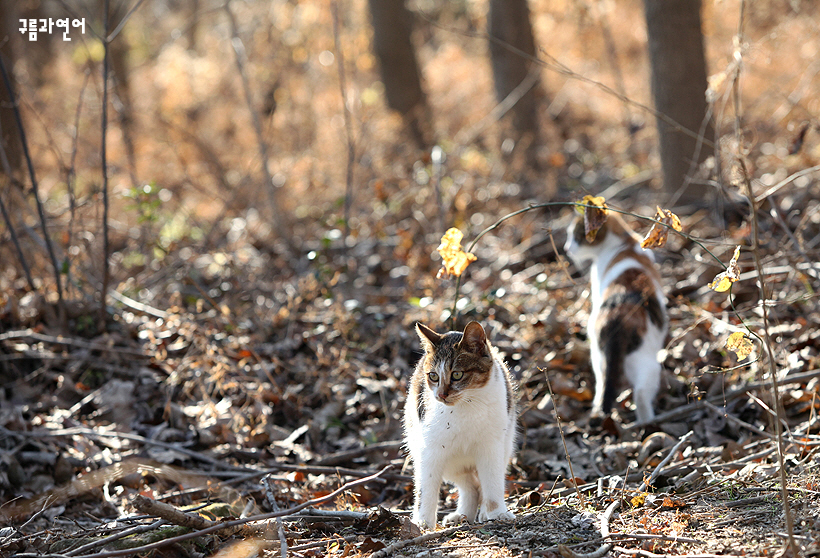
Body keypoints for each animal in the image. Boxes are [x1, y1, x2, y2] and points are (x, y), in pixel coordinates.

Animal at [406, 322, 520, 532]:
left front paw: (497, 513)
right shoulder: (430, 450)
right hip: (448, 459)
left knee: (482, 482)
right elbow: (426, 488)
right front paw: (423, 523)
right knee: (470, 485)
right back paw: (463, 515)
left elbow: (492, 482)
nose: (441, 395)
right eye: (433, 376)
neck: (467, 404)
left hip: (505, 444)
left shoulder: (491, 446)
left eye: (457, 374)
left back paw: (481, 513)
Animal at [568, 213, 668, 424]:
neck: (624, 242)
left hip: (601, 358)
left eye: (575, 236)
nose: (566, 248)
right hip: (643, 363)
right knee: (638, 393)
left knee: (605, 387)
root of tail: (617, 317)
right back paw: (648, 423)